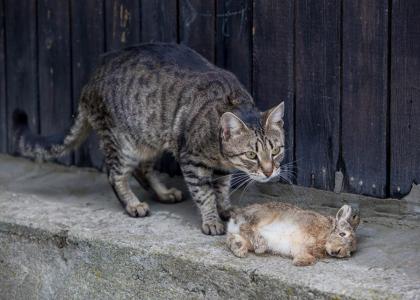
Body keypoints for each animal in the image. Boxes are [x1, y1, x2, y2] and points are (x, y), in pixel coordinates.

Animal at [13, 42, 286, 234]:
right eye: (251, 155)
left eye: (276, 151)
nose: (269, 171)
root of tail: (90, 80)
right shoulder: (192, 160)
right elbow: (205, 194)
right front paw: (211, 220)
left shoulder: (221, 168)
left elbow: (221, 190)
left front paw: (225, 209)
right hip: (122, 143)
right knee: (116, 174)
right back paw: (133, 204)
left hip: (149, 139)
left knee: (143, 170)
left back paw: (164, 193)